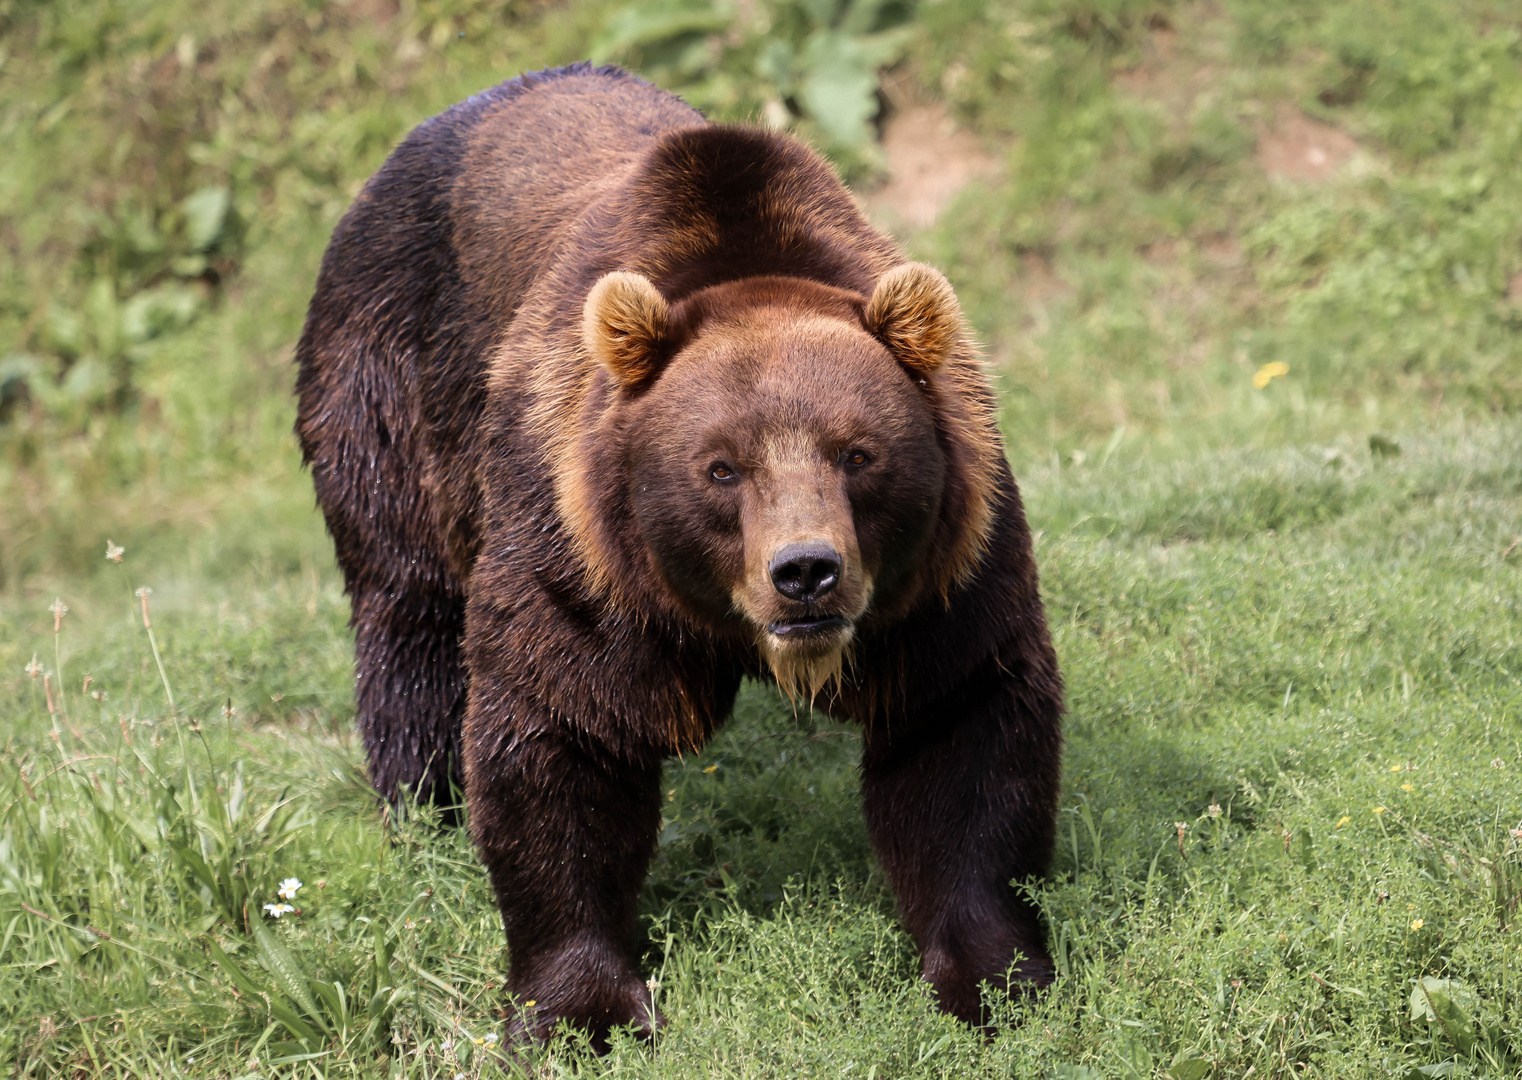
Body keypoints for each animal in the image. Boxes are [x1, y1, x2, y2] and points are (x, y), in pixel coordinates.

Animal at [293, 61, 1059, 1046]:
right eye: (721, 466)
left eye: (859, 453)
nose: (805, 571)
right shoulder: (578, 545)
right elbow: (560, 733)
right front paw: (578, 1009)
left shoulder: (942, 570)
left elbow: (960, 730)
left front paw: (994, 980)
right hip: (389, 381)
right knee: (410, 617)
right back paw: (427, 818)